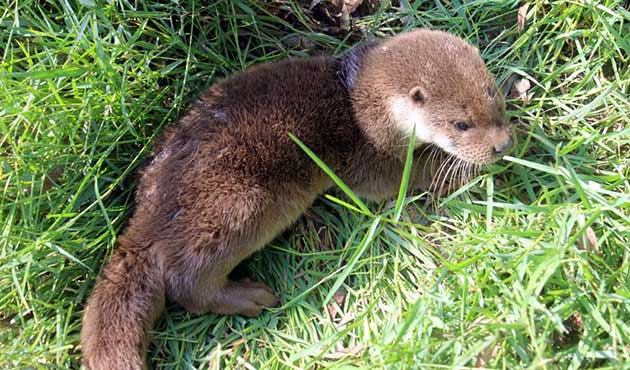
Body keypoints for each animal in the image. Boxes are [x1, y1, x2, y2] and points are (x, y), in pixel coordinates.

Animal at [80, 29, 512, 370]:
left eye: (495, 99)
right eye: (461, 124)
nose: (502, 145)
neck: (360, 104)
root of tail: (149, 216)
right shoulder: (365, 156)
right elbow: (393, 182)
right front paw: (458, 170)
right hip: (237, 204)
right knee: (186, 281)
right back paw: (250, 297)